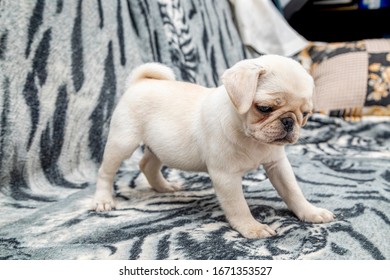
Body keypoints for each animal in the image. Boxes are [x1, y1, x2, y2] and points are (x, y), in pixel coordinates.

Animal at [91, 54, 336, 238]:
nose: (288, 122)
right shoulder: (225, 176)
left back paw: (164, 187)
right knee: (106, 171)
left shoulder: (277, 164)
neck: (251, 138)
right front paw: (252, 228)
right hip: (123, 142)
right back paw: (103, 200)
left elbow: (293, 192)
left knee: (147, 164)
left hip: (160, 147)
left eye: (305, 114)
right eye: (264, 108)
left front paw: (310, 212)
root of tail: (141, 82)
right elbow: (238, 206)